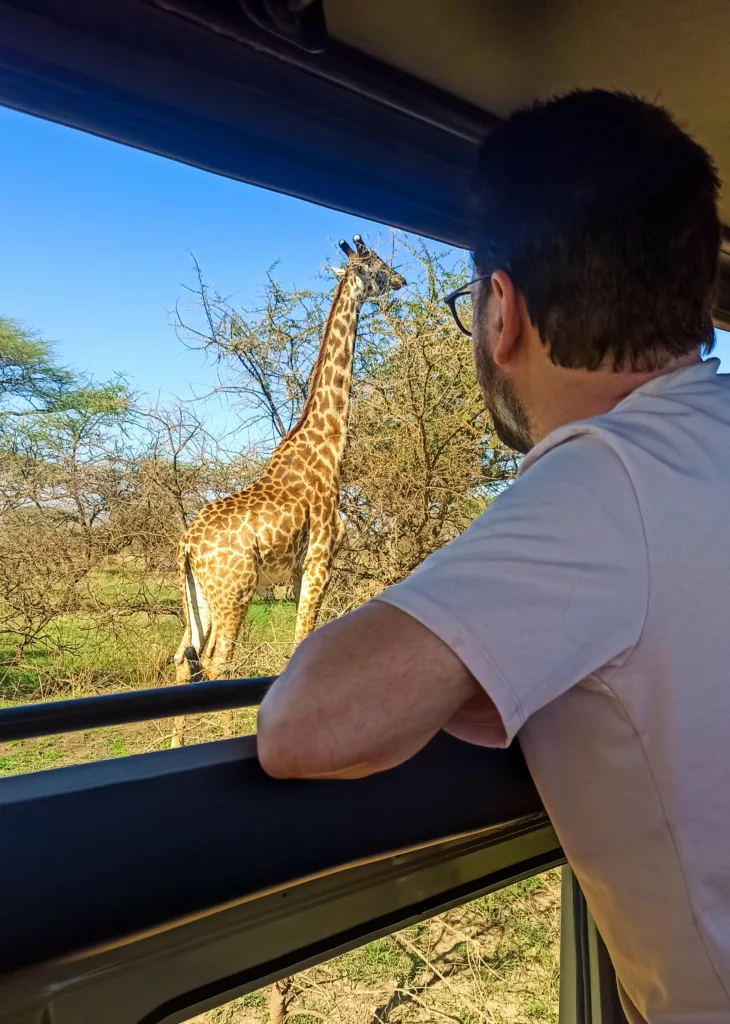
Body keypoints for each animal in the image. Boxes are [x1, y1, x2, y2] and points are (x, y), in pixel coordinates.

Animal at [170, 234, 403, 741]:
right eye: (377, 264)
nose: (401, 280)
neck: (328, 446)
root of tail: (186, 544)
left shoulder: (297, 572)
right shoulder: (320, 560)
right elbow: (301, 643)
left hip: (200, 597)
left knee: (181, 658)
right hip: (233, 593)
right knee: (217, 663)